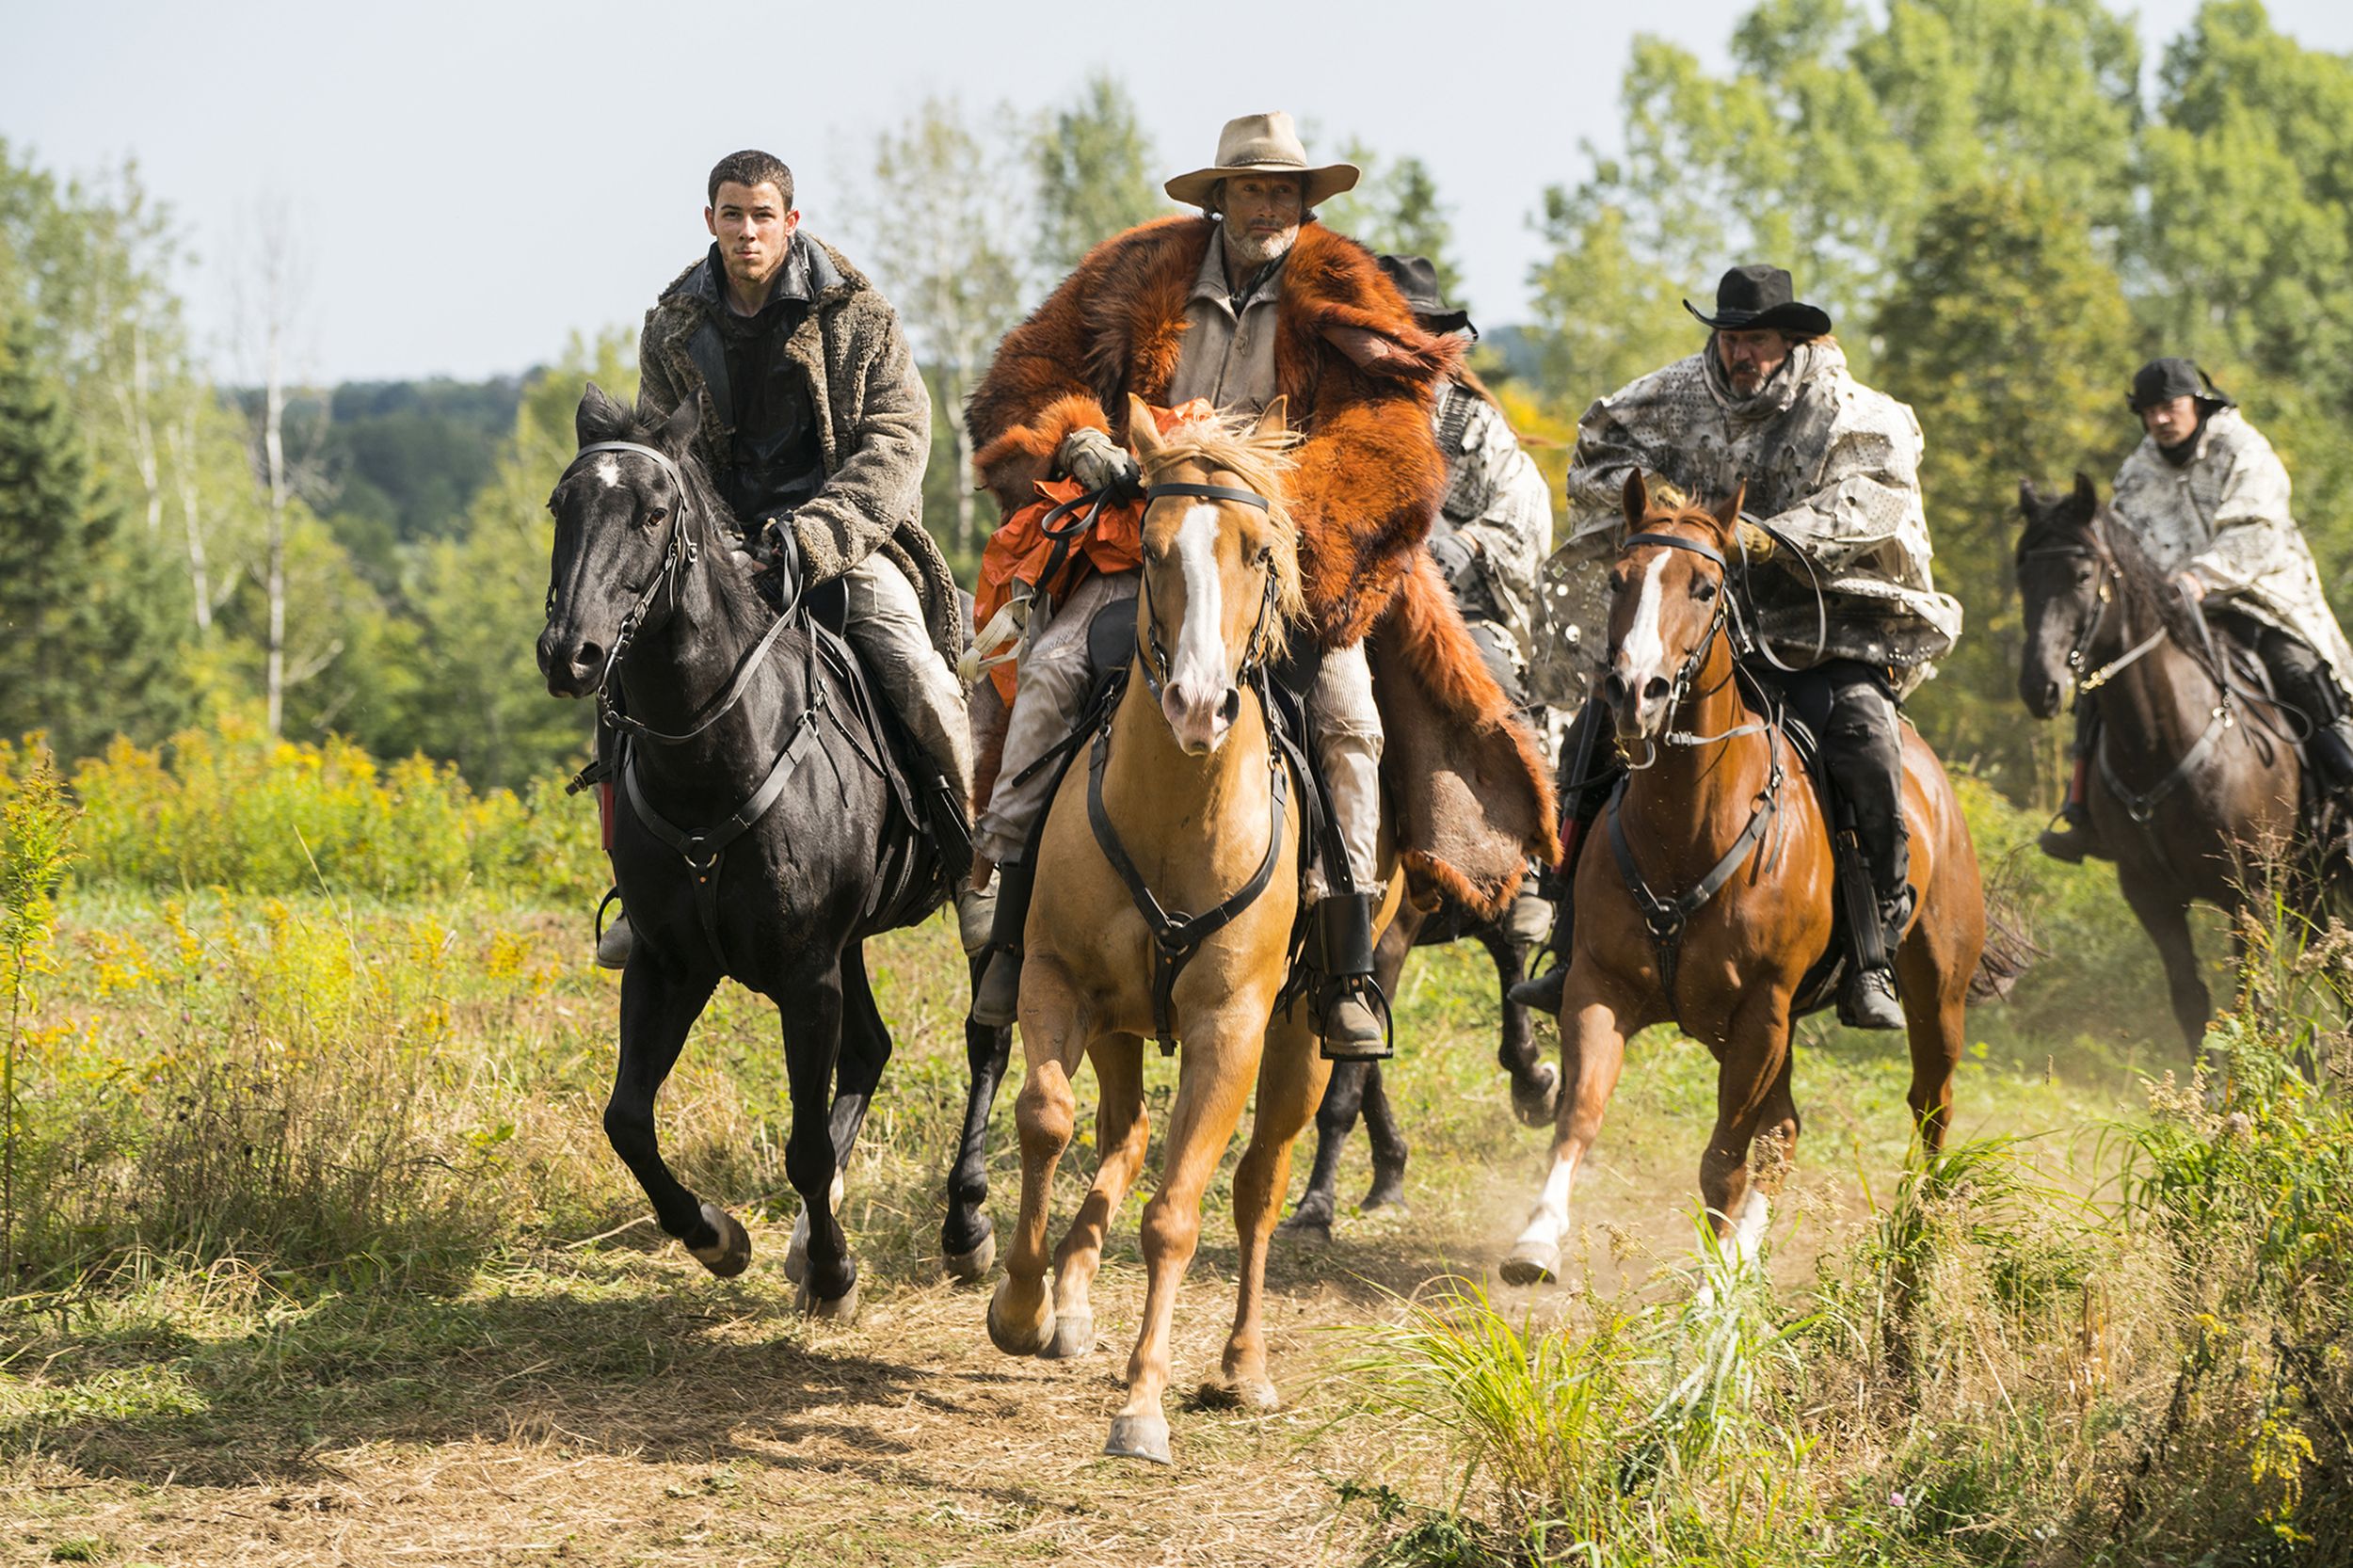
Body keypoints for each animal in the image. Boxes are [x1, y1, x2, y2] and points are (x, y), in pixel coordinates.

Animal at [538, 388, 1007, 1308]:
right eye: (559, 507)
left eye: (653, 514)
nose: (569, 653)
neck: (716, 760)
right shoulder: (672, 964)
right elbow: (627, 1121)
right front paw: (717, 1237)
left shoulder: (806, 973)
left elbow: (805, 1146)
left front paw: (833, 1271)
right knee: (870, 1049)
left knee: (985, 1039)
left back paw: (965, 1225)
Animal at [984, 397, 1402, 1459]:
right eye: (1151, 546)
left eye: (1259, 552)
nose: (1199, 705)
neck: (1177, 811)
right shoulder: (1057, 980)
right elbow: (1046, 1118)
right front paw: (1021, 1305)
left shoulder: (1230, 1025)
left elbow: (1178, 1213)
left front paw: (1142, 1404)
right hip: (1122, 1022)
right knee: (1123, 1132)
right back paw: (1069, 1299)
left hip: (1298, 1040)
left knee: (1257, 1182)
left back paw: (1243, 1365)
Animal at [1497, 475, 1995, 1280]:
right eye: (1617, 579)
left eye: (1705, 587)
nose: (1636, 692)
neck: (1689, 831)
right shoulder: (1600, 986)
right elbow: (1581, 1114)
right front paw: (1537, 1239)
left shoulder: (1761, 1012)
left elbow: (1723, 1161)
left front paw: (1708, 1293)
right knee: (1784, 1131)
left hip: (1935, 997)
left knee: (1930, 1106)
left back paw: (1914, 1236)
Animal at [2014, 471, 2306, 1045]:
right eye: (2023, 575)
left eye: (2082, 574)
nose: (2041, 686)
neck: (2164, 745)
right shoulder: (2150, 893)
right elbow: (2192, 1001)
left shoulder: (2252, 892)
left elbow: (2254, 1008)